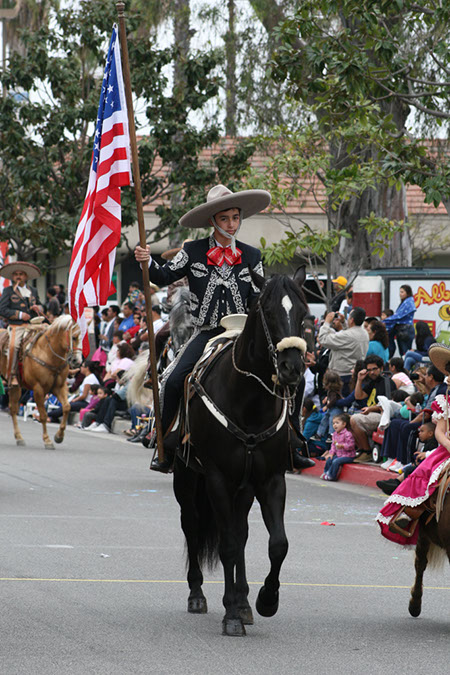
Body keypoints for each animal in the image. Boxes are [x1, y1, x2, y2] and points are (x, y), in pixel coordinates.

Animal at [0, 316, 82, 448]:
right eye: (74, 337)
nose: (77, 361)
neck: (47, 352)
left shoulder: (59, 387)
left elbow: (66, 407)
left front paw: (59, 436)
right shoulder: (38, 389)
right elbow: (43, 415)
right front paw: (47, 440)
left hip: (15, 386)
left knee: (13, 409)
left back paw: (19, 437)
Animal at [173, 266, 310, 636]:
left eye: (304, 314)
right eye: (269, 311)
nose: (292, 368)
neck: (250, 400)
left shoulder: (271, 479)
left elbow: (277, 544)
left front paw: (264, 600)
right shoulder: (218, 478)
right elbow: (228, 545)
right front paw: (231, 614)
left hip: (243, 487)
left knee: (241, 531)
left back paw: (245, 600)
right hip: (186, 477)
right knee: (193, 525)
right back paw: (198, 595)